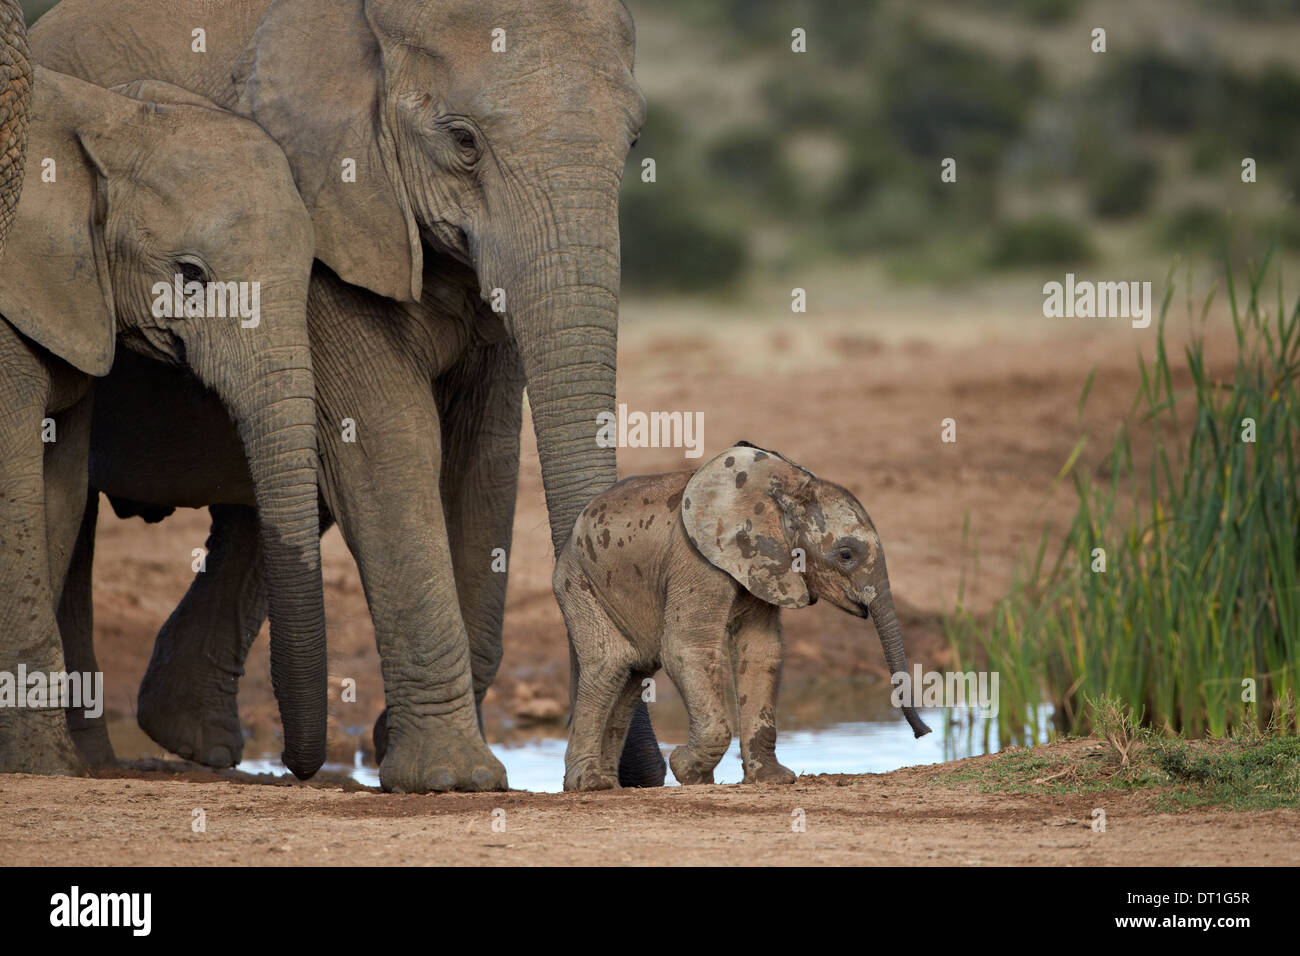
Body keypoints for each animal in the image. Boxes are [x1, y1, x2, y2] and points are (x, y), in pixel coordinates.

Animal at [0, 70, 325, 780]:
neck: (111, 117)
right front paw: (45, 767)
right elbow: (14, 497)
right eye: (190, 275)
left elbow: (57, 496)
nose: (292, 765)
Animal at [34, 0, 665, 790]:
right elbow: (392, 442)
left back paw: (189, 741)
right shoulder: (326, 219)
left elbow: (483, 458)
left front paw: (404, 747)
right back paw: (95, 761)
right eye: (463, 141)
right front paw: (451, 781)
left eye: (634, 140)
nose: (640, 774)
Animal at [559, 442, 935, 790]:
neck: (782, 487)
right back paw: (590, 784)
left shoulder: (766, 562)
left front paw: (771, 779)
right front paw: (687, 771)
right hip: (579, 583)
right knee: (610, 664)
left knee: (634, 672)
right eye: (845, 555)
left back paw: (609, 784)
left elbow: (759, 651)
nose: (924, 733)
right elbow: (687, 649)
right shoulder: (695, 561)